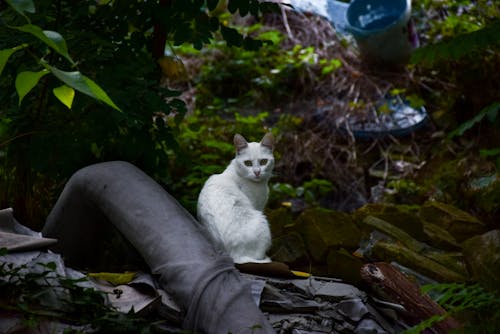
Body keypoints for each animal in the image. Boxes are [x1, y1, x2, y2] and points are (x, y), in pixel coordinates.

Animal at [196, 132, 274, 264]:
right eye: (248, 163)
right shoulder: (257, 206)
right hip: (261, 220)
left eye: (264, 161)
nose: (257, 172)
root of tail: (232, 255)